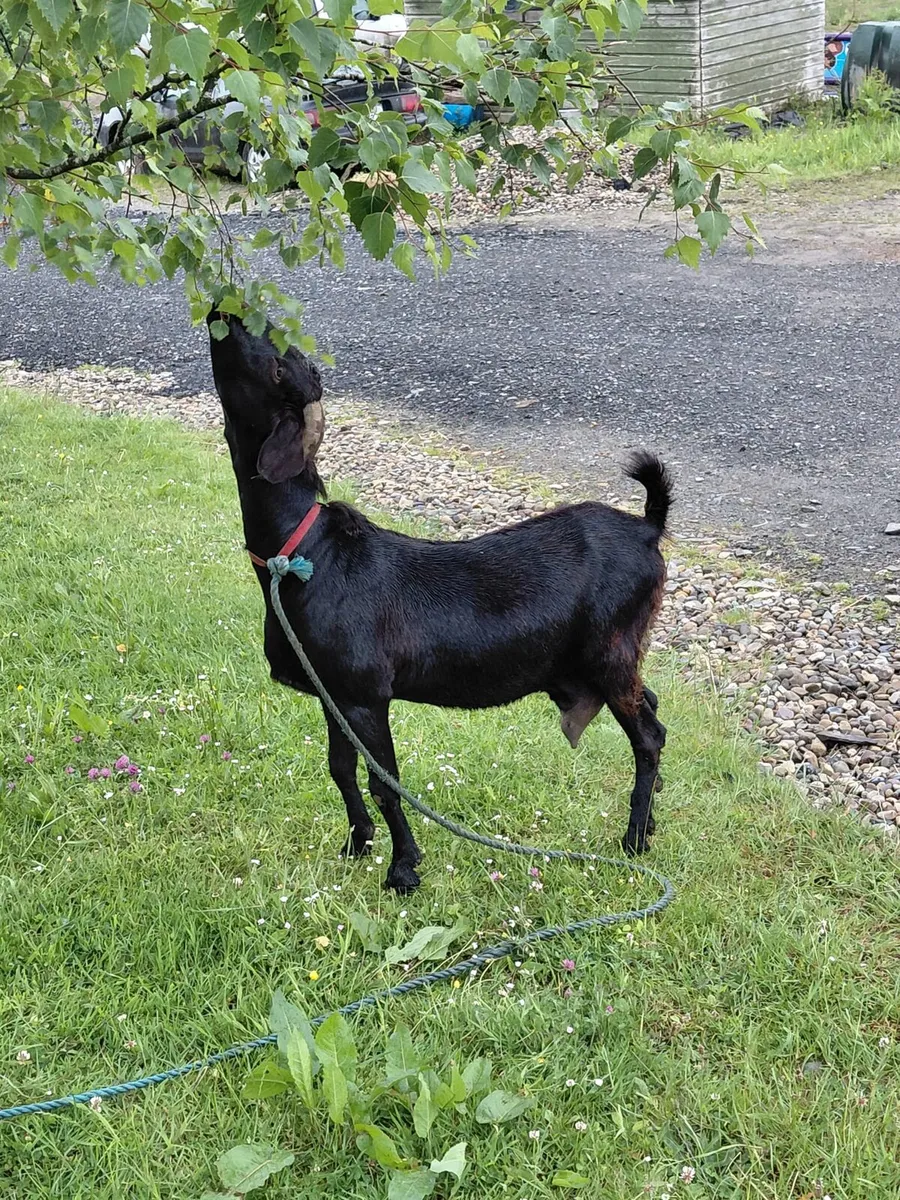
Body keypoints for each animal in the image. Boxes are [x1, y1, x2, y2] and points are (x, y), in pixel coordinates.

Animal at [208, 313, 672, 894]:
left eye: (276, 364)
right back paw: (649, 821)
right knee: (653, 709)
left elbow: (385, 781)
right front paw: (356, 845)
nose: (221, 313)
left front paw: (403, 868)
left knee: (648, 737)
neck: (301, 553)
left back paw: (633, 841)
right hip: (609, 659)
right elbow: (340, 769)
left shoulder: (365, 695)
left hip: (610, 654)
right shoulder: (333, 693)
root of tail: (648, 529)